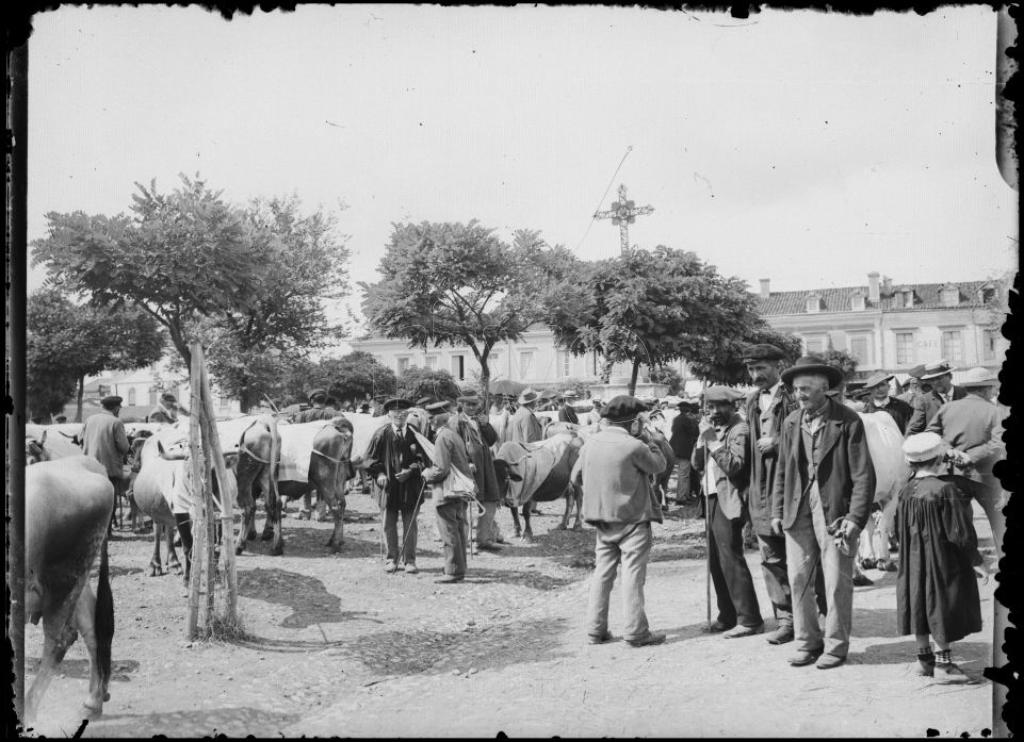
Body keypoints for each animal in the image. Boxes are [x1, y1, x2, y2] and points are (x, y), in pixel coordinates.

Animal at [235, 413, 356, 552]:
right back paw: (336, 540)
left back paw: (335, 544)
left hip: (325, 482)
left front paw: (256, 533)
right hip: (338, 482)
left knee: (335, 508)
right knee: (341, 505)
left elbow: (256, 507)